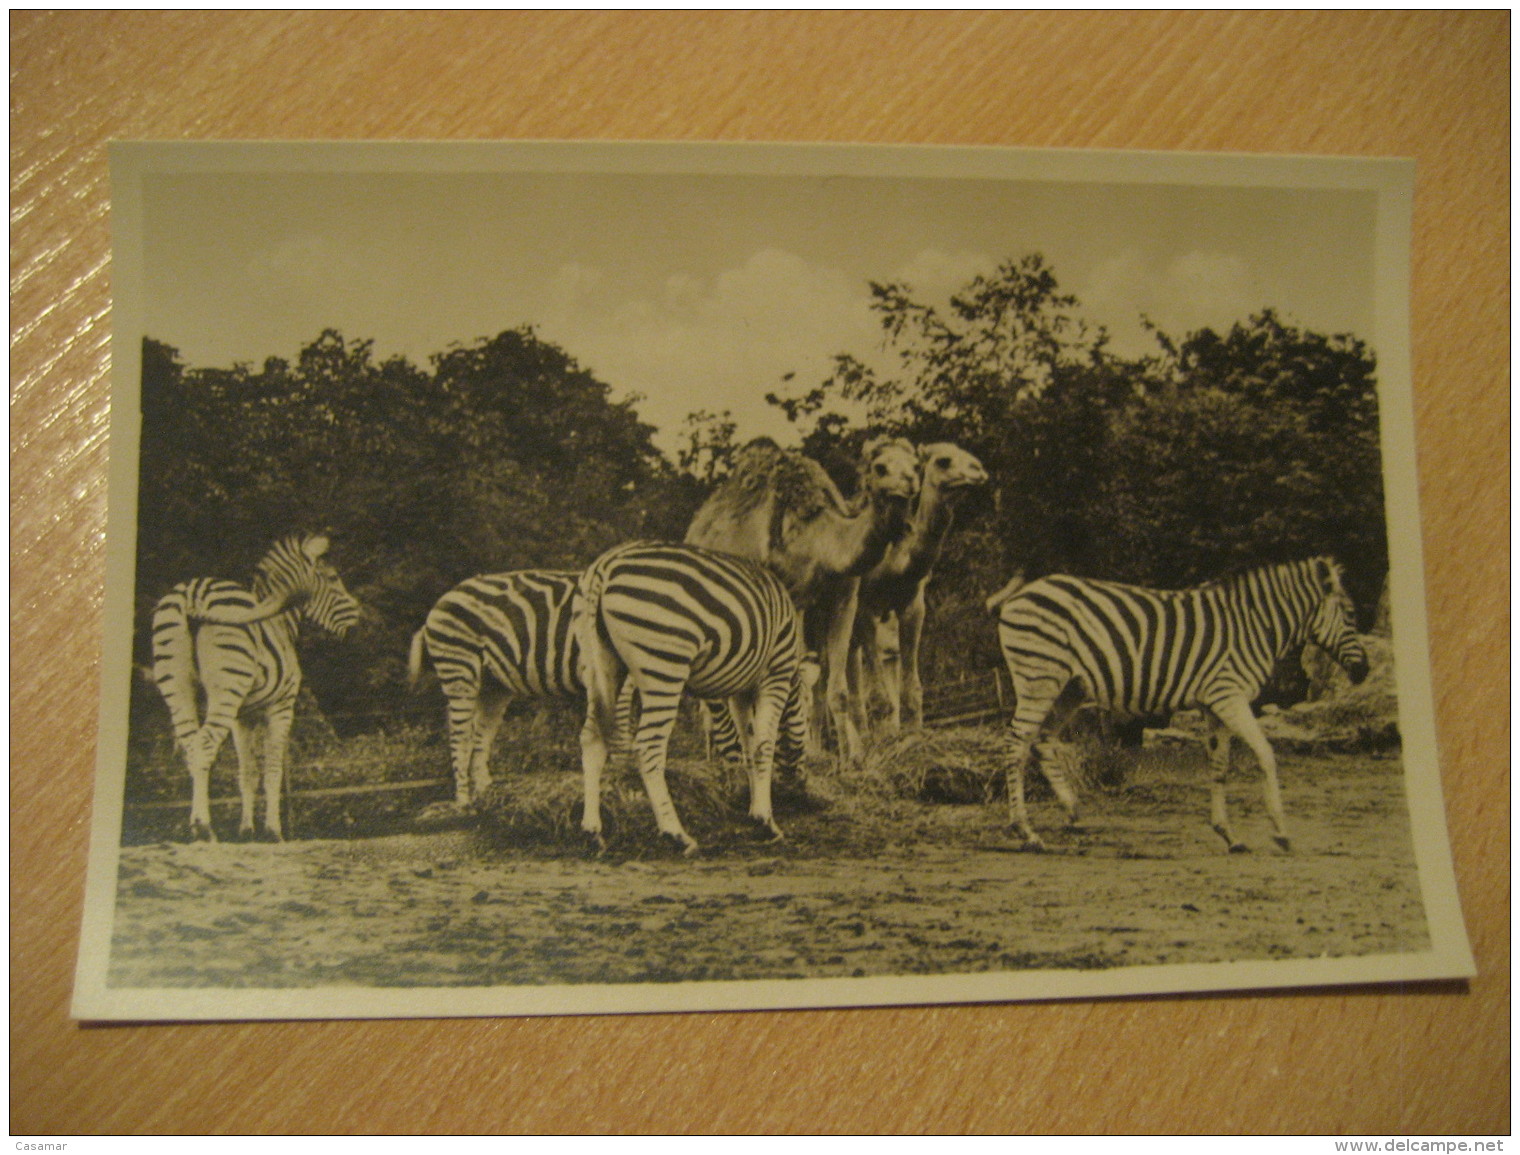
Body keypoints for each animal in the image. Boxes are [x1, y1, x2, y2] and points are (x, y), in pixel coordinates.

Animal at [151, 537, 361, 844]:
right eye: (333, 578)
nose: (359, 617)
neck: (281, 623)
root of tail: (193, 594)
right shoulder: (282, 706)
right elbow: (273, 770)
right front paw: (273, 831)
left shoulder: (243, 717)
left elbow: (247, 773)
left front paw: (246, 831)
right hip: (227, 687)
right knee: (204, 745)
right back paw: (204, 828)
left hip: (177, 687)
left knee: (191, 746)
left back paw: (196, 826)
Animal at [571, 541, 814, 857]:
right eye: (808, 721)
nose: (802, 789)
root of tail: (606, 563)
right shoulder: (775, 673)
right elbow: (763, 745)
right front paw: (766, 821)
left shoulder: (742, 690)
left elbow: (748, 745)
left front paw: (752, 810)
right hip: (665, 664)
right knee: (648, 746)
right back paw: (676, 835)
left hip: (600, 664)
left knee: (592, 738)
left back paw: (592, 831)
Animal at [687, 431, 912, 756]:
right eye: (880, 467)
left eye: (915, 465)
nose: (905, 487)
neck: (820, 541)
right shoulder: (790, 599)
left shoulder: (844, 599)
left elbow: (838, 691)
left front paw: (851, 760)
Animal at [851, 440, 991, 729]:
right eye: (944, 461)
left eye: (917, 466)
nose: (979, 470)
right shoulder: (863, 607)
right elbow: (879, 699)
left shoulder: (912, 605)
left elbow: (911, 691)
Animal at [991, 556, 1374, 851]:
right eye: (1351, 615)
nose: (1364, 671)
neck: (1255, 626)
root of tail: (1022, 592)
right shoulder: (1229, 695)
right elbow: (1266, 754)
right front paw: (1280, 831)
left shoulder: (1214, 705)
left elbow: (1219, 766)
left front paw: (1228, 834)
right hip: (1040, 679)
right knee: (1016, 742)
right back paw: (1025, 831)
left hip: (1069, 688)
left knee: (1041, 741)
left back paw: (1070, 810)